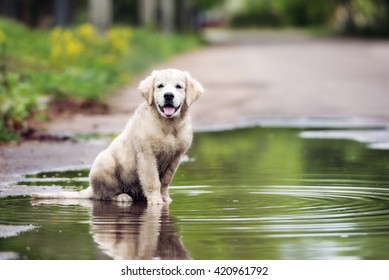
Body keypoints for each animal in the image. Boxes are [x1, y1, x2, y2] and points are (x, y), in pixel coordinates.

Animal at [32, 69, 203, 205]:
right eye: (160, 86)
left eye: (179, 87)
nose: (168, 96)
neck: (168, 125)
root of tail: (91, 188)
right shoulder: (146, 155)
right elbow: (153, 180)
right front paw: (156, 201)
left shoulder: (175, 157)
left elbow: (165, 181)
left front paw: (165, 198)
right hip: (105, 162)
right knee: (104, 195)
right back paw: (121, 197)